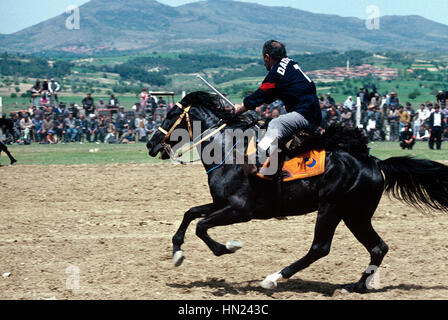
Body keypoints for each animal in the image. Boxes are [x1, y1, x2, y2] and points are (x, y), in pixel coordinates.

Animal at [147, 92, 448, 292]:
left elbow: (201, 226)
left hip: (331, 209)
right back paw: (356, 286)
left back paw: (274, 278)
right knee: (378, 247)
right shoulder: (220, 203)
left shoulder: (240, 210)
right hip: (355, 215)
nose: (151, 144)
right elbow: (191, 214)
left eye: (171, 115)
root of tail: (374, 162)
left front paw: (227, 247)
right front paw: (177, 252)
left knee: (320, 248)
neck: (229, 151)